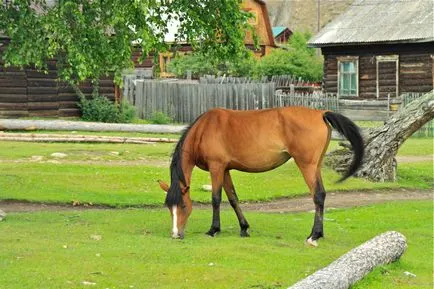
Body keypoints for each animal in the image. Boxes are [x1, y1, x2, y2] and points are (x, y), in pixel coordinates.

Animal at [159, 106, 362, 245]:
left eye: (183, 205)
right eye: (169, 207)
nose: (175, 234)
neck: (204, 129)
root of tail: (320, 113)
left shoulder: (216, 167)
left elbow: (216, 198)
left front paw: (213, 230)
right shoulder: (225, 169)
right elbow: (233, 198)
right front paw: (244, 228)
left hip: (307, 166)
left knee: (318, 195)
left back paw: (314, 236)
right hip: (316, 165)